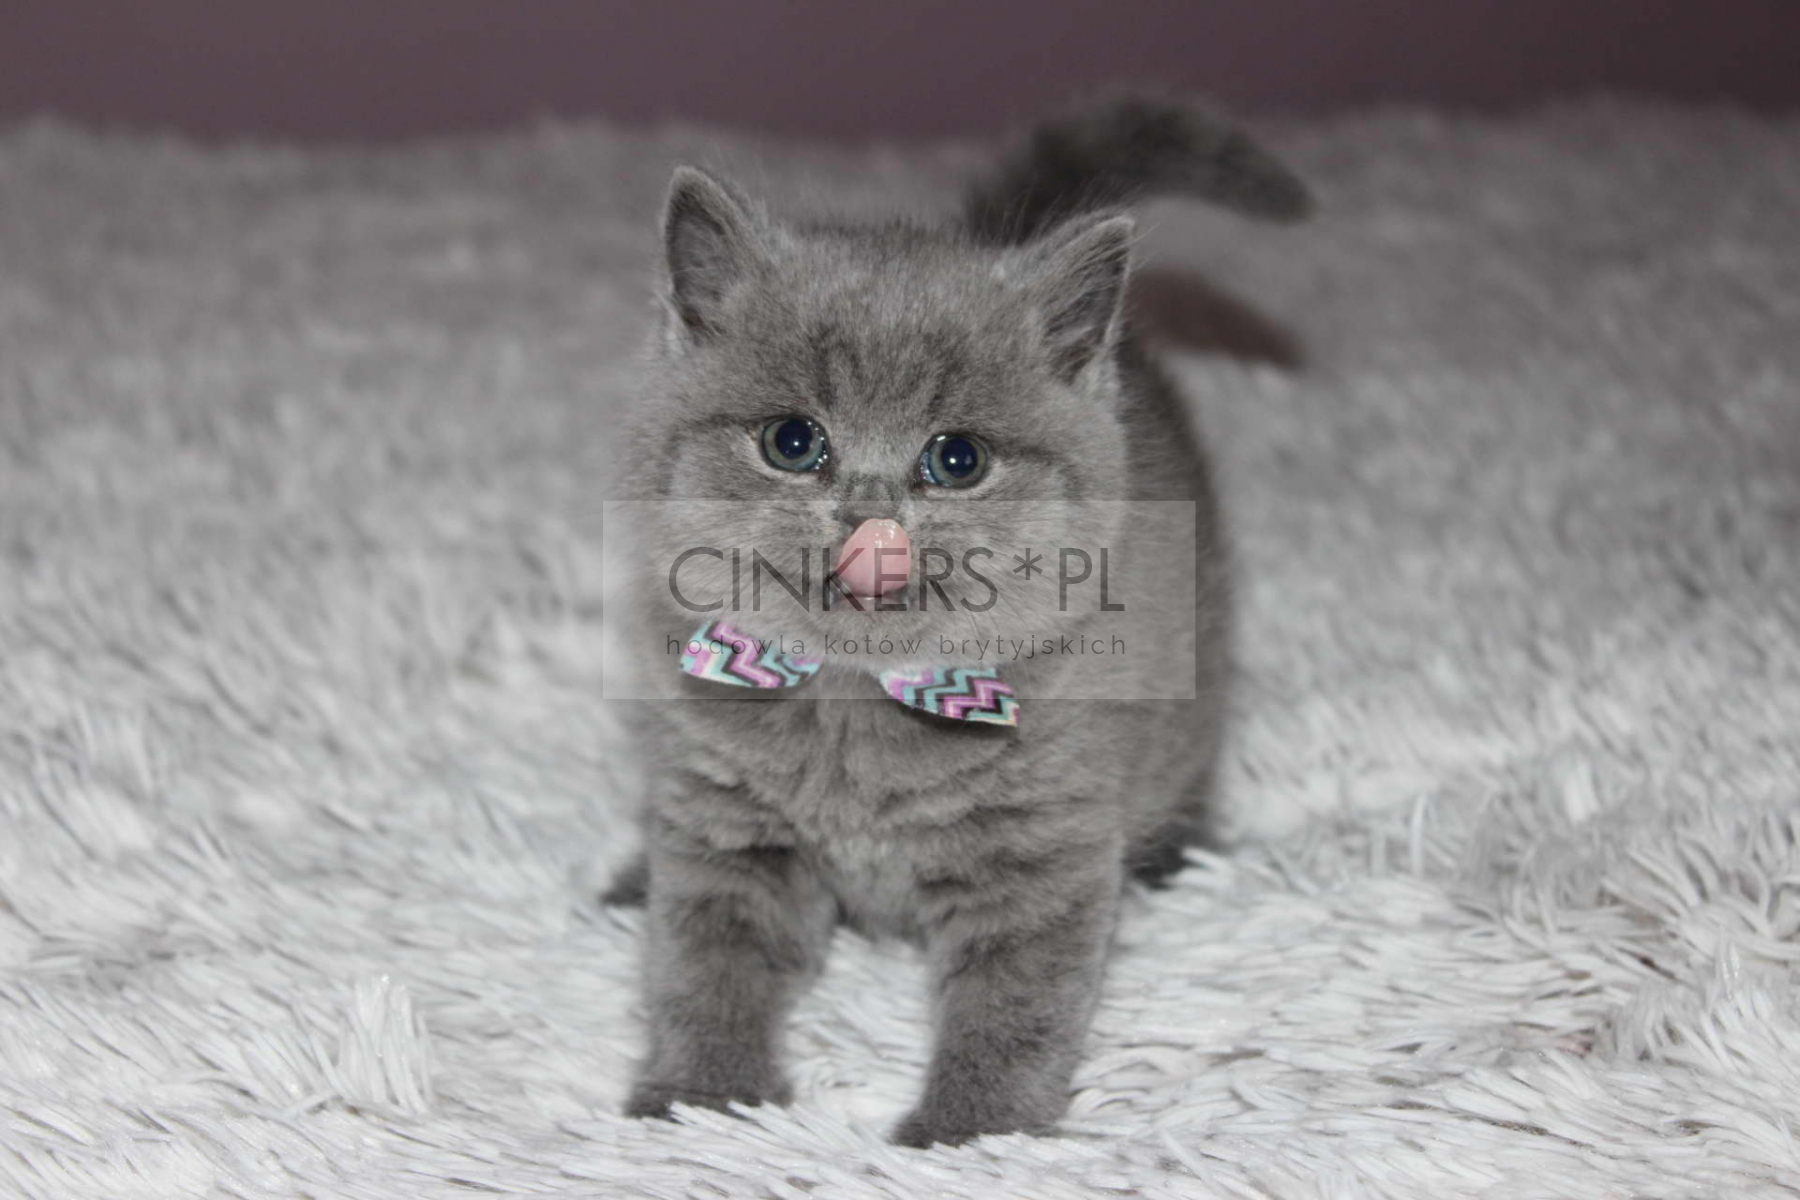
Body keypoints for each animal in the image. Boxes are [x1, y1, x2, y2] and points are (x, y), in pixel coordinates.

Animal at [604, 95, 1311, 1147]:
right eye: (793, 441)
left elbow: (1017, 1000)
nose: (872, 521)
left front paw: (970, 1133)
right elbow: (704, 961)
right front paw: (701, 1099)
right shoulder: (724, 821)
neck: (854, 713)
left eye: (957, 459)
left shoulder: (1040, 847)